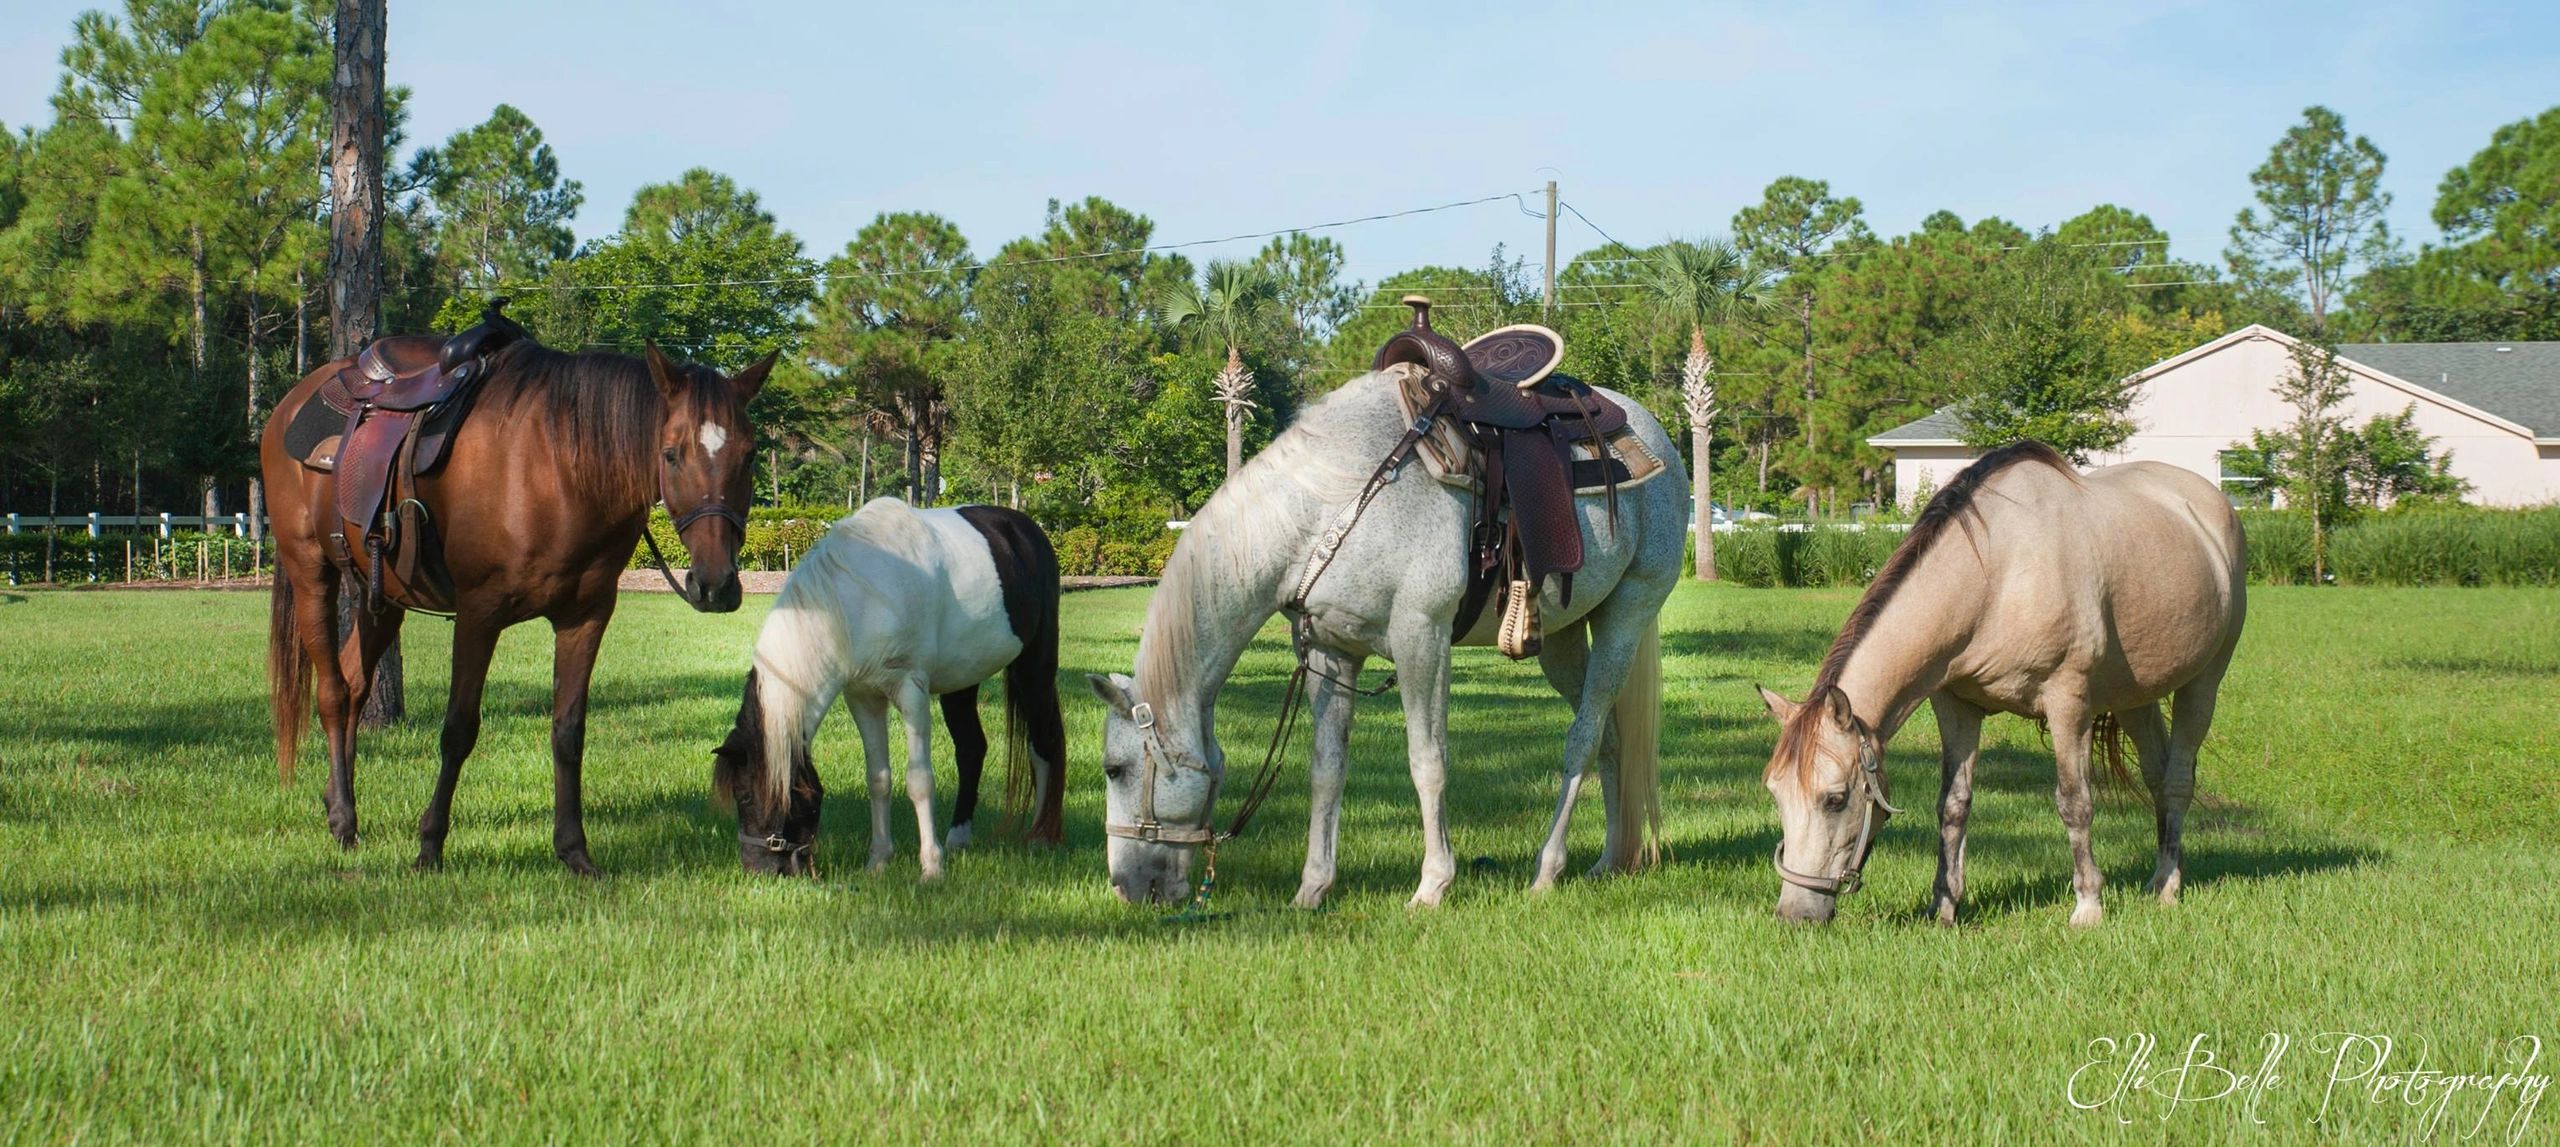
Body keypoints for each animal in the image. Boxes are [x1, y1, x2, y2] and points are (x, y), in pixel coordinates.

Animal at [262, 336, 771, 873]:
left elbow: (568, 733)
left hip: (383, 597)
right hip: (311, 571)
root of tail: (291, 404)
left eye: (750, 455)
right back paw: (343, 819)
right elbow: (458, 729)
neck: (559, 468)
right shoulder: (478, 614)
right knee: (334, 693)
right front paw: (429, 846)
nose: (715, 585)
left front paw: (574, 852)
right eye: (671, 455)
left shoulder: (585, 617)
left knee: (356, 684)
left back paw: (337, 804)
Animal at [710, 498, 1067, 878]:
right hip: (963, 679)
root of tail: (1027, 530)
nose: (758, 869)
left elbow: (919, 780)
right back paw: (959, 838)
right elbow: (878, 779)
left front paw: (931, 868)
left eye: (745, 795)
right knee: (972, 749)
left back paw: (1040, 836)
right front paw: (878, 862)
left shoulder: (911, 691)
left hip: (1034, 668)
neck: (862, 599)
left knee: (1043, 744)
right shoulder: (863, 697)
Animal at [1082, 364, 1687, 908]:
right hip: (1562, 638)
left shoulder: (1422, 637)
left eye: (1115, 769)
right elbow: (1327, 768)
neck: (1333, 503)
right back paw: (1610, 860)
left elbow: (1427, 761)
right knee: (1611, 737)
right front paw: (1312, 889)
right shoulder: (1331, 652)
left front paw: (1433, 885)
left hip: (1628, 613)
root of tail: (1656, 437)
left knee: (1582, 737)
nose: (1124, 888)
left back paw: (1547, 870)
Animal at [1755, 441, 2247, 927]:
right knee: (2156, 775)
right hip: (2135, 699)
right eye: (1775, 794)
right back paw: (2158, 876)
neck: (2000, 576)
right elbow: (1953, 805)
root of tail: (2212, 504)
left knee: (2177, 780)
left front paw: (2088, 905)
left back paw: (2168, 886)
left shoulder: (2069, 704)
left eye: (1835, 800)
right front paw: (1944, 905)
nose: (1794, 914)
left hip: (2203, 683)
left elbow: (2075, 803)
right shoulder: (1956, 706)